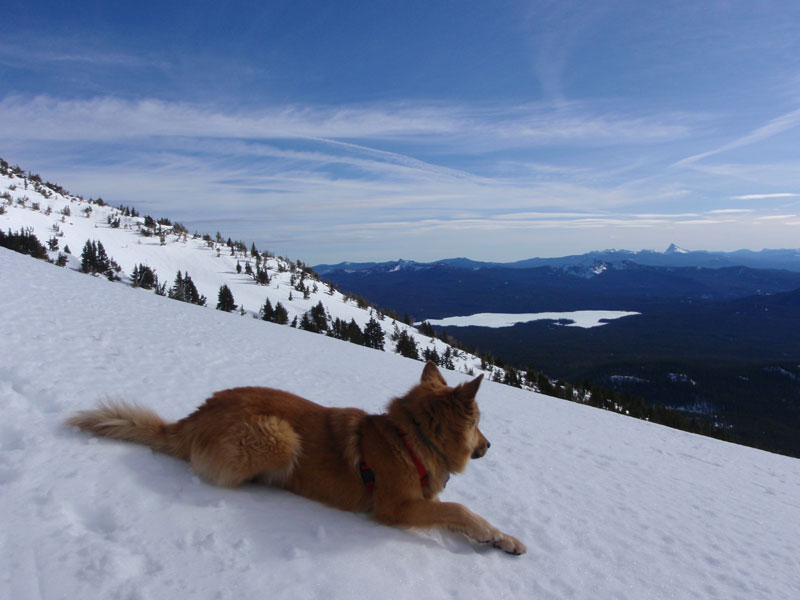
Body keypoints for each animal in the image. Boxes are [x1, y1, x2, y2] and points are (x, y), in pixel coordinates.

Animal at [67, 360, 524, 552]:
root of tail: (190, 420)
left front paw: (501, 540)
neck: (410, 438)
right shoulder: (395, 508)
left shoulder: (422, 500)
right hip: (279, 435)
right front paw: (495, 534)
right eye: (479, 423)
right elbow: (461, 510)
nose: (489, 446)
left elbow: (457, 516)